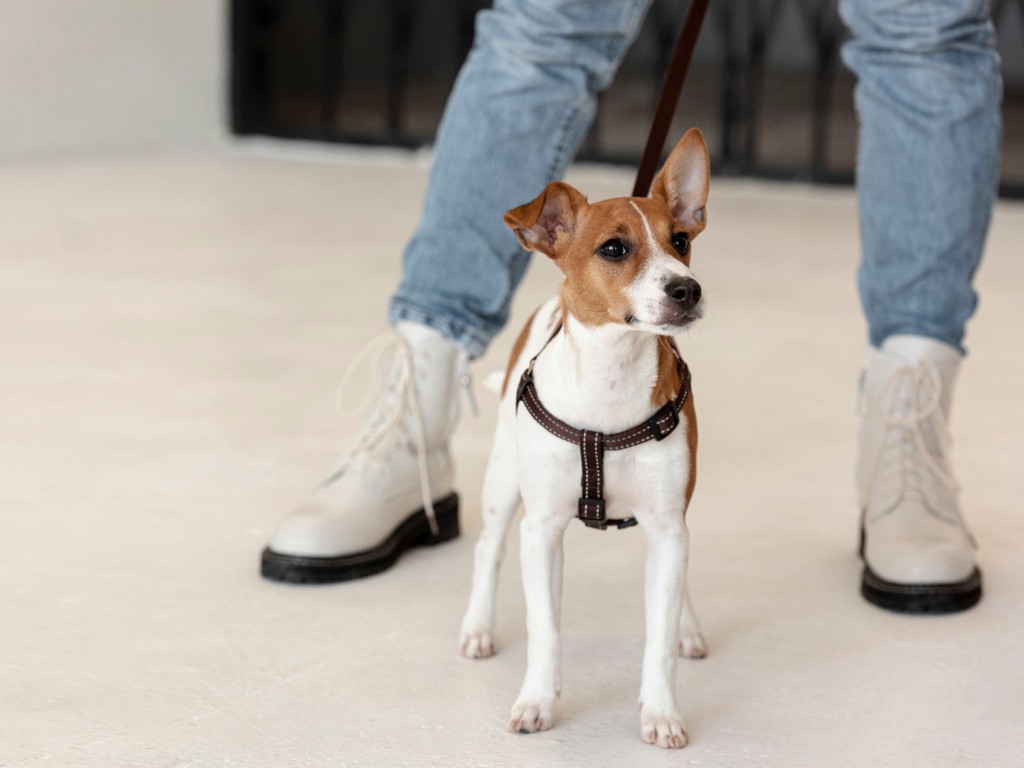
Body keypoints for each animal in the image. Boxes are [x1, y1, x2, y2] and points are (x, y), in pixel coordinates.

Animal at [458, 129, 708, 749]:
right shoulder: (542, 530)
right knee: (488, 549)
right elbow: (544, 628)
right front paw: (536, 702)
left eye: (681, 240)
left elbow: (659, 637)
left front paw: (661, 712)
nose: (687, 289)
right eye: (614, 249)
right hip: (504, 485)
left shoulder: (668, 526)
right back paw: (477, 627)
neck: (610, 381)